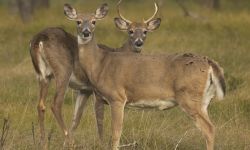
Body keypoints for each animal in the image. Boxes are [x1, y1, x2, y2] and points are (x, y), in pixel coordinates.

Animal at [28, 1, 160, 147]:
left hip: (42, 75)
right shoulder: (97, 92)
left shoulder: (85, 89)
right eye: (130, 31)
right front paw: (100, 144)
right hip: (63, 70)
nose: (138, 42)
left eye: (145, 31)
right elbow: (100, 120)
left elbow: (76, 117)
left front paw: (65, 144)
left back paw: (44, 142)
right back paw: (66, 140)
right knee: (56, 104)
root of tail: (39, 39)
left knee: (41, 105)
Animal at [64, 1, 227, 150]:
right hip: (204, 100)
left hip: (189, 97)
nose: (86, 32)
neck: (100, 64)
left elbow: (115, 133)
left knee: (209, 129)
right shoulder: (101, 97)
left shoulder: (117, 97)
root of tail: (210, 63)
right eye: (78, 21)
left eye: (94, 21)